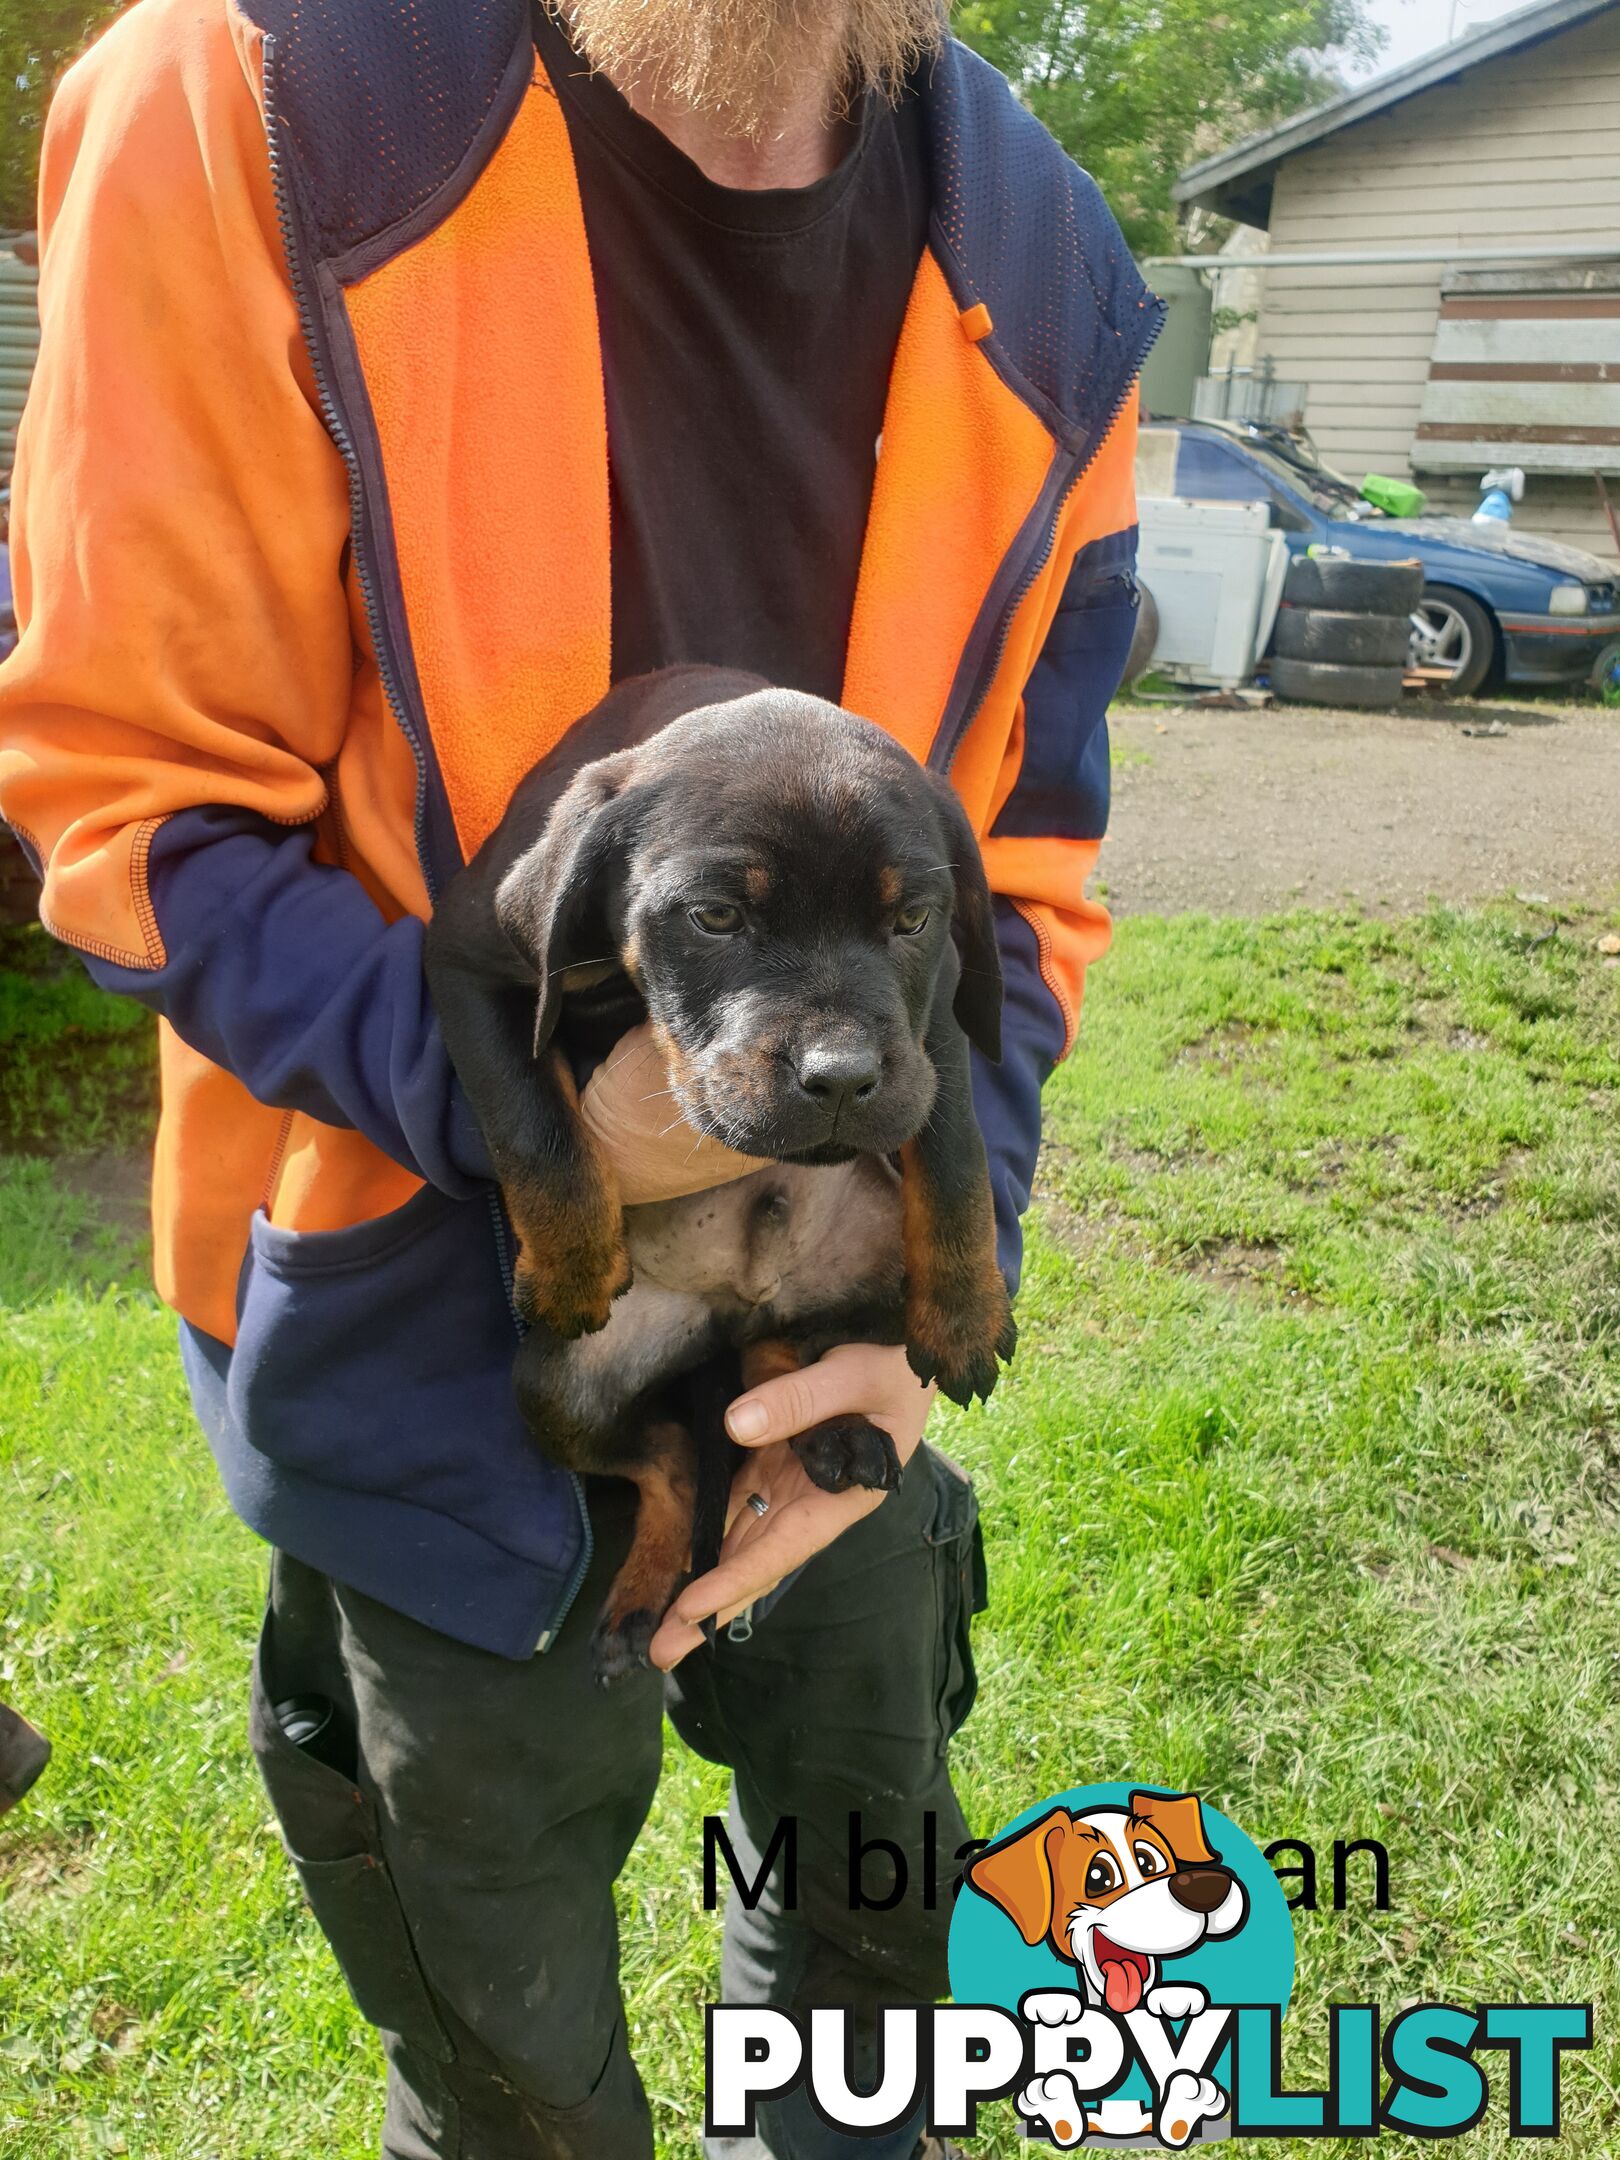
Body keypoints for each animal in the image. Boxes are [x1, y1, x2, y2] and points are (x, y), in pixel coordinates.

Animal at [427, 665, 1015, 1676]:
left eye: (911, 919)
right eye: (715, 918)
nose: (841, 1079)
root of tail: (726, 1307)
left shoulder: (930, 1021)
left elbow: (953, 1153)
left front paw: (968, 1314)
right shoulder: (470, 965)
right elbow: (530, 1118)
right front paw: (573, 1266)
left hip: (866, 1281)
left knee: (778, 1349)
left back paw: (830, 1434)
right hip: (557, 1388)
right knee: (672, 1454)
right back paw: (637, 1601)